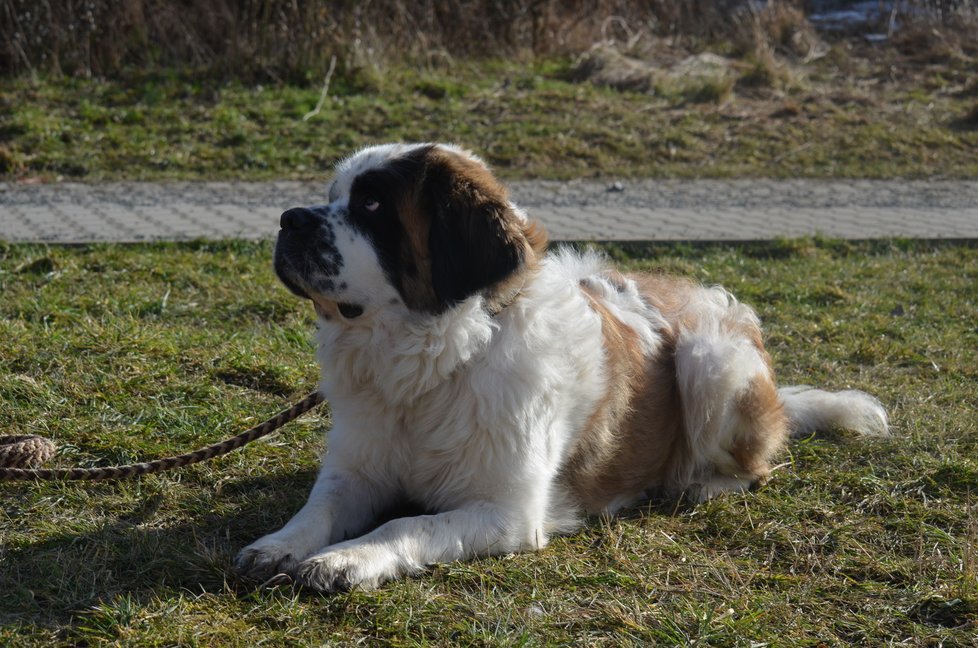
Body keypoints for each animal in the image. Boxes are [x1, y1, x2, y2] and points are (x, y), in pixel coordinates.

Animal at [234, 143, 884, 592]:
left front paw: (345, 559)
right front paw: (281, 544)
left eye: (372, 204)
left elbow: (403, 526)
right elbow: (322, 505)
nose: (289, 218)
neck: (437, 360)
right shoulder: (358, 470)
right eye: (333, 193)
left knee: (754, 467)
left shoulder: (508, 511)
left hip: (712, 360)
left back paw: (694, 482)